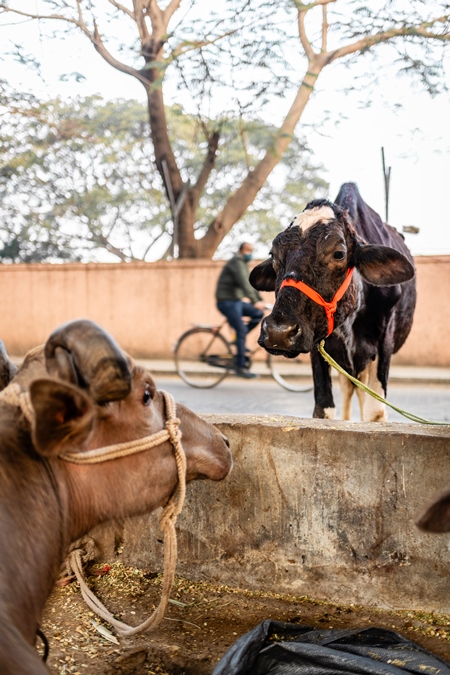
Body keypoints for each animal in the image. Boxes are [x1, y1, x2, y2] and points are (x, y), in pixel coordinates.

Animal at [250, 182, 414, 420]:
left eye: (339, 254)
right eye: (273, 254)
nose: (278, 332)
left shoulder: (384, 344)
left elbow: (374, 411)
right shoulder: (317, 344)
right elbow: (324, 408)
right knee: (349, 390)